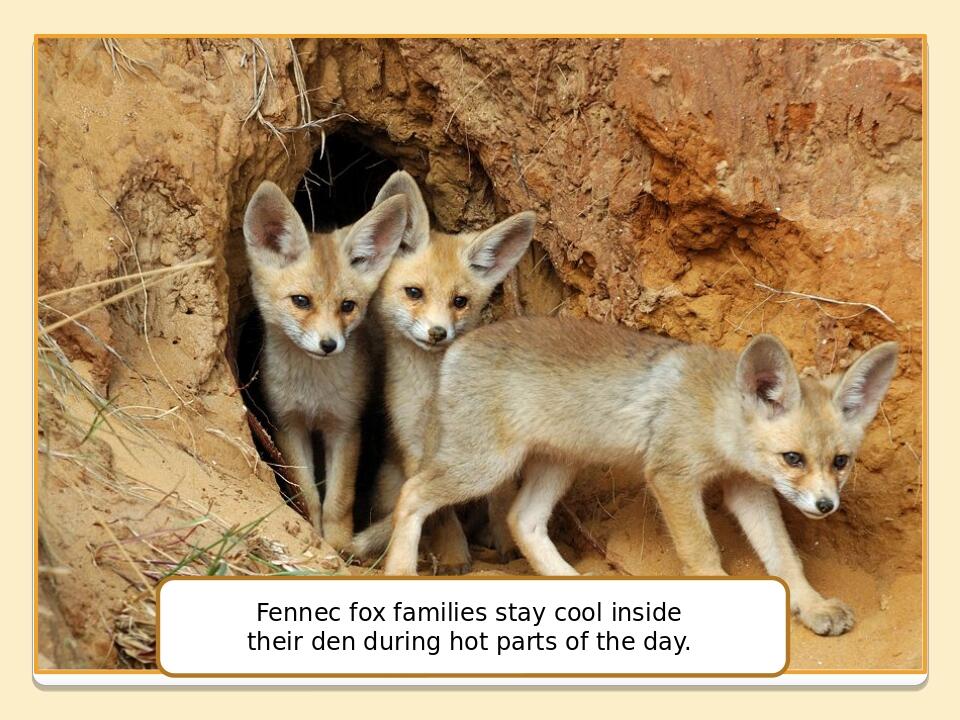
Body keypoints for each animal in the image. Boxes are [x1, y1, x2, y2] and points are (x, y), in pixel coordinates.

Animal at [243, 180, 408, 549]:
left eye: (347, 306)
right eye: (301, 301)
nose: (329, 345)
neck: (313, 393)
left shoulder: (345, 427)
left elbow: (338, 500)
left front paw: (338, 545)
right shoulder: (288, 425)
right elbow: (307, 493)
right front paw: (312, 533)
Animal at [348, 170, 536, 568]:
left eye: (459, 301)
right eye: (414, 293)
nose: (438, 333)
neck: (435, 394)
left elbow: (500, 496)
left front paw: (507, 547)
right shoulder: (414, 445)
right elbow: (438, 511)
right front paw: (452, 555)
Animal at [383, 316, 899, 636]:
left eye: (840, 462)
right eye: (794, 458)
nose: (826, 506)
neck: (717, 413)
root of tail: (457, 346)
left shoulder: (747, 488)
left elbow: (785, 559)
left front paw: (813, 606)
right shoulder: (672, 476)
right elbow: (703, 551)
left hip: (558, 465)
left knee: (521, 521)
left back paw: (569, 583)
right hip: (485, 466)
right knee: (411, 493)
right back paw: (399, 573)